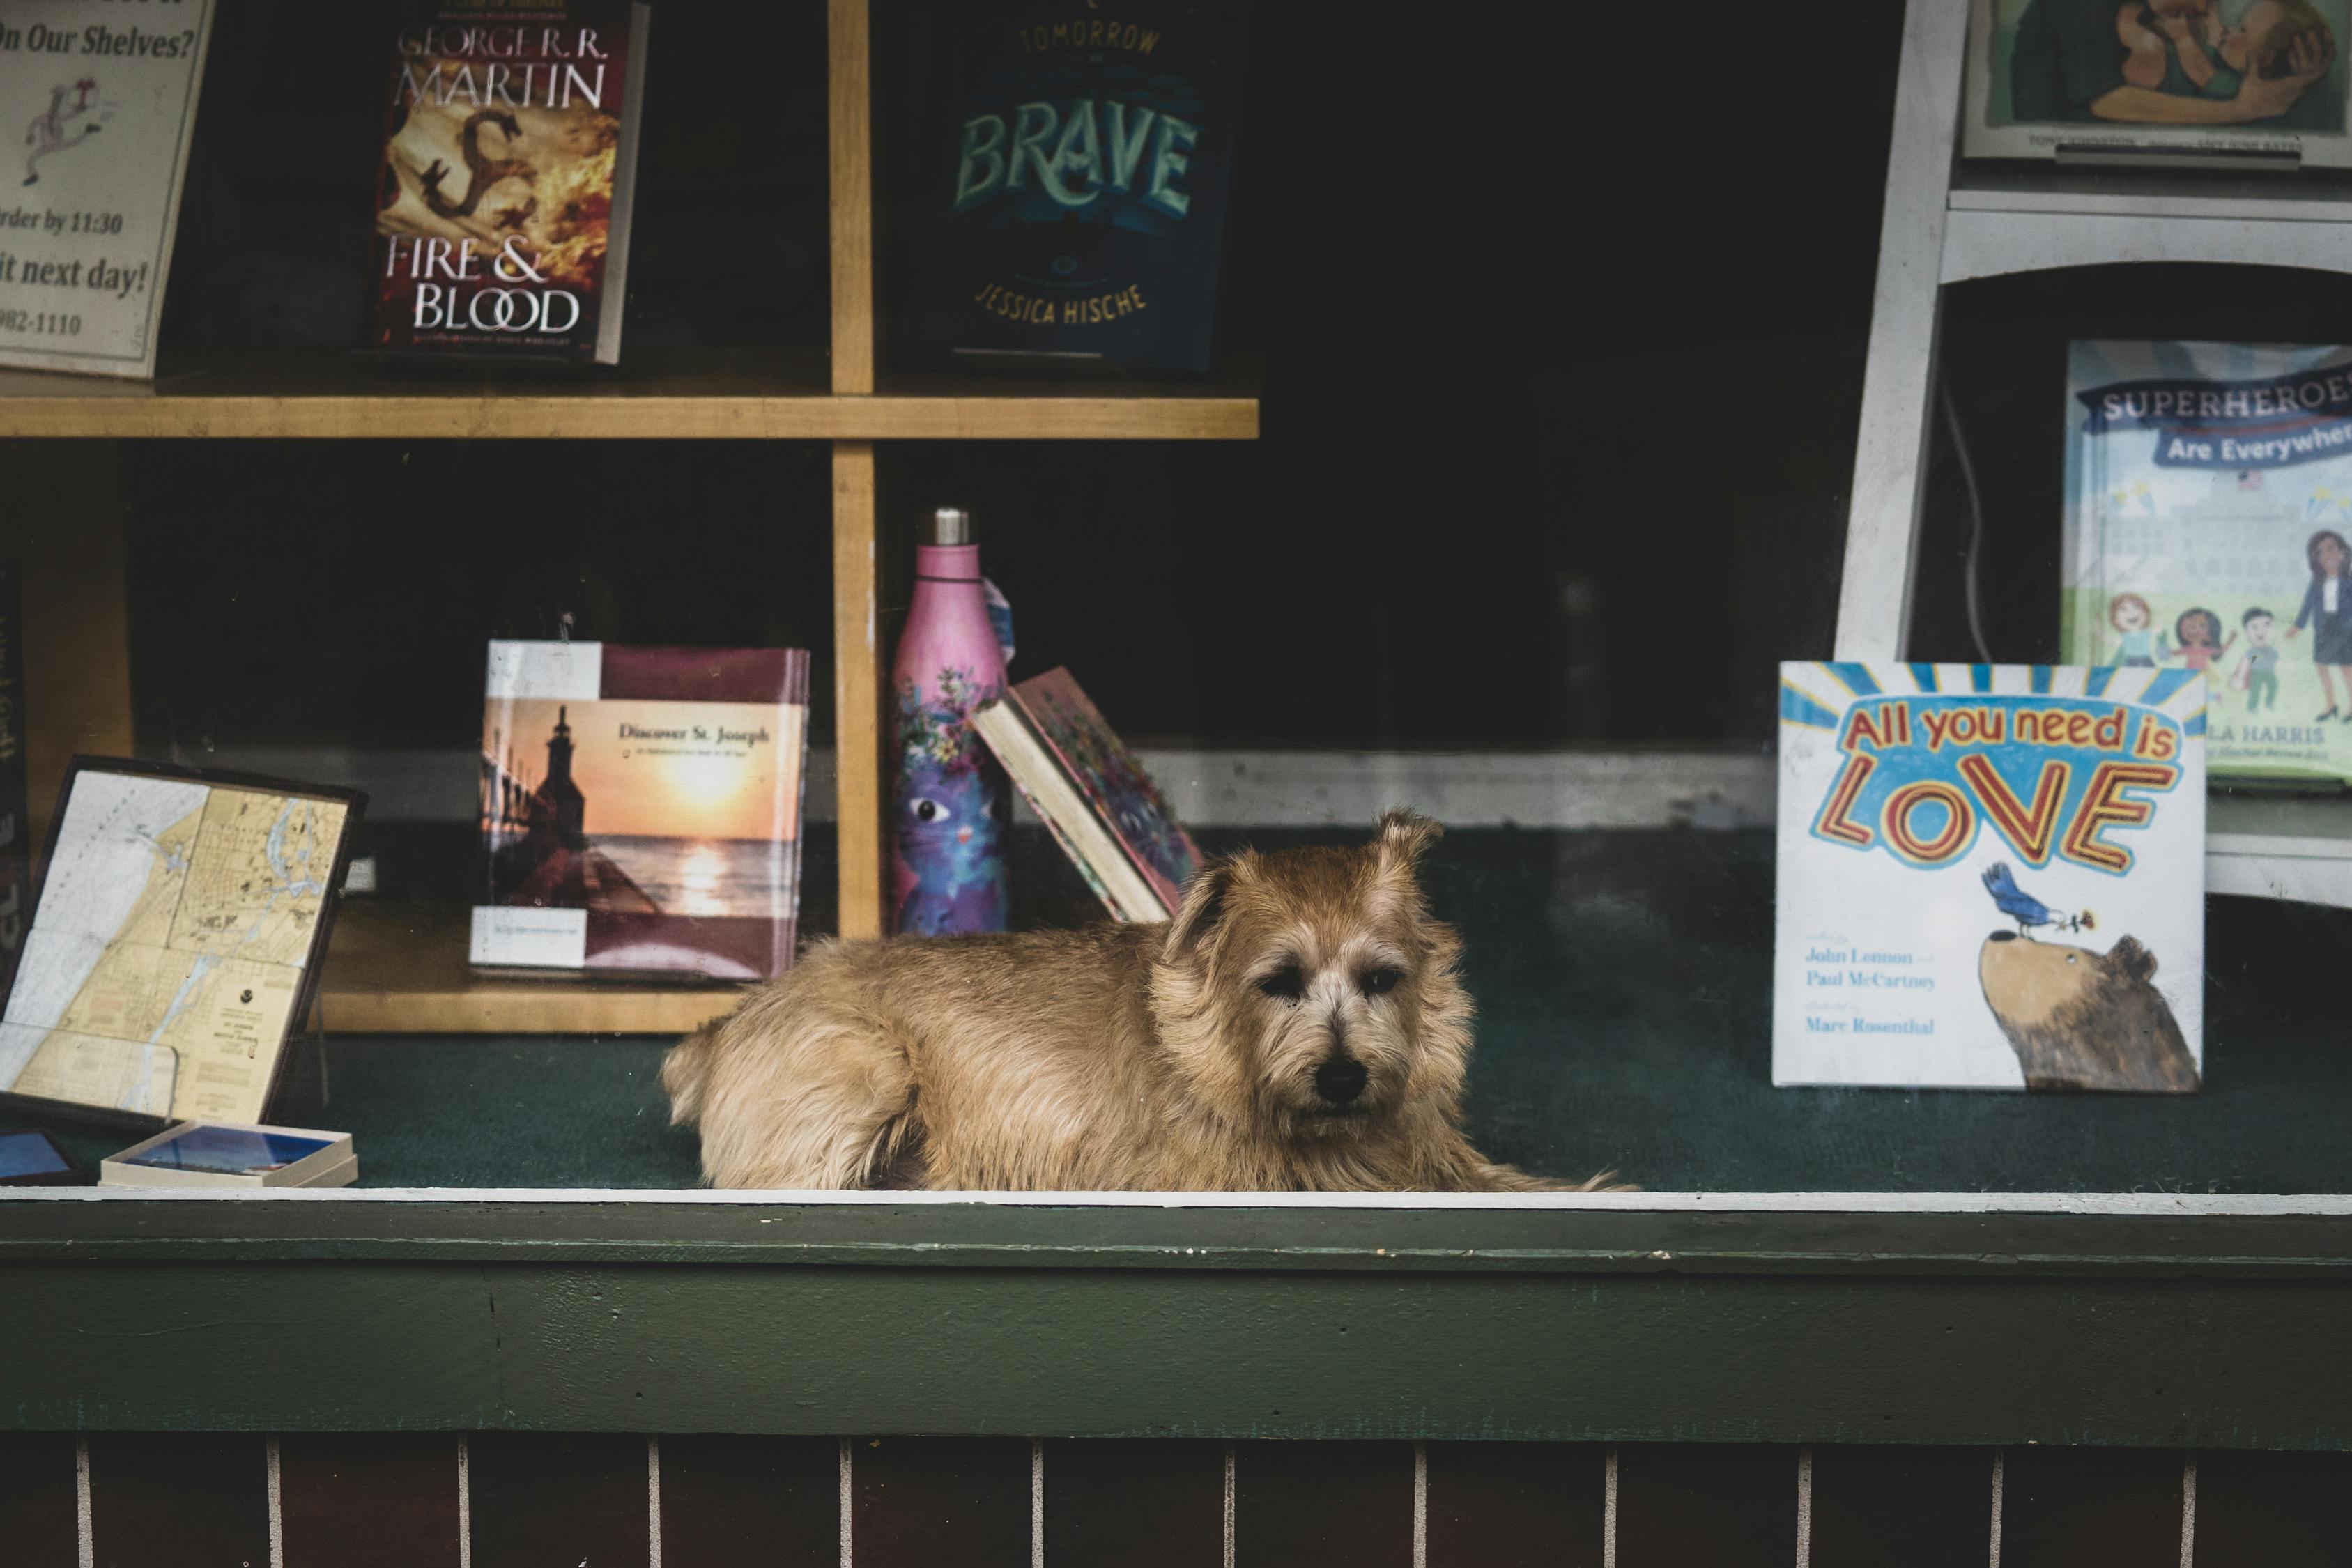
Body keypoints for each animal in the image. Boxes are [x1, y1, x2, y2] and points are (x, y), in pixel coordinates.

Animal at [672, 817, 1608, 1194]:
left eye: (1383, 979)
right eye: (1279, 981)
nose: (1342, 1078)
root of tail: (724, 1025)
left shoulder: (1433, 1161)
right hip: (868, 1072)